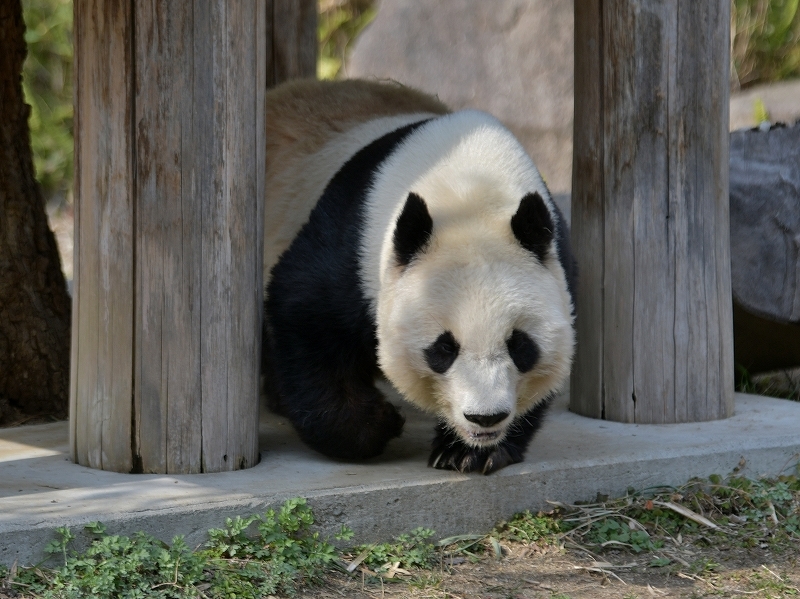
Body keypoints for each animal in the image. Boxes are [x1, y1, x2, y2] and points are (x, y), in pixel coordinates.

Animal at [262, 78, 576, 474]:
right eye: (443, 348)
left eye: (520, 345)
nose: (485, 418)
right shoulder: (353, 246)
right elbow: (304, 311)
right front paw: (379, 423)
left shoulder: (558, 260)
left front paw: (469, 453)